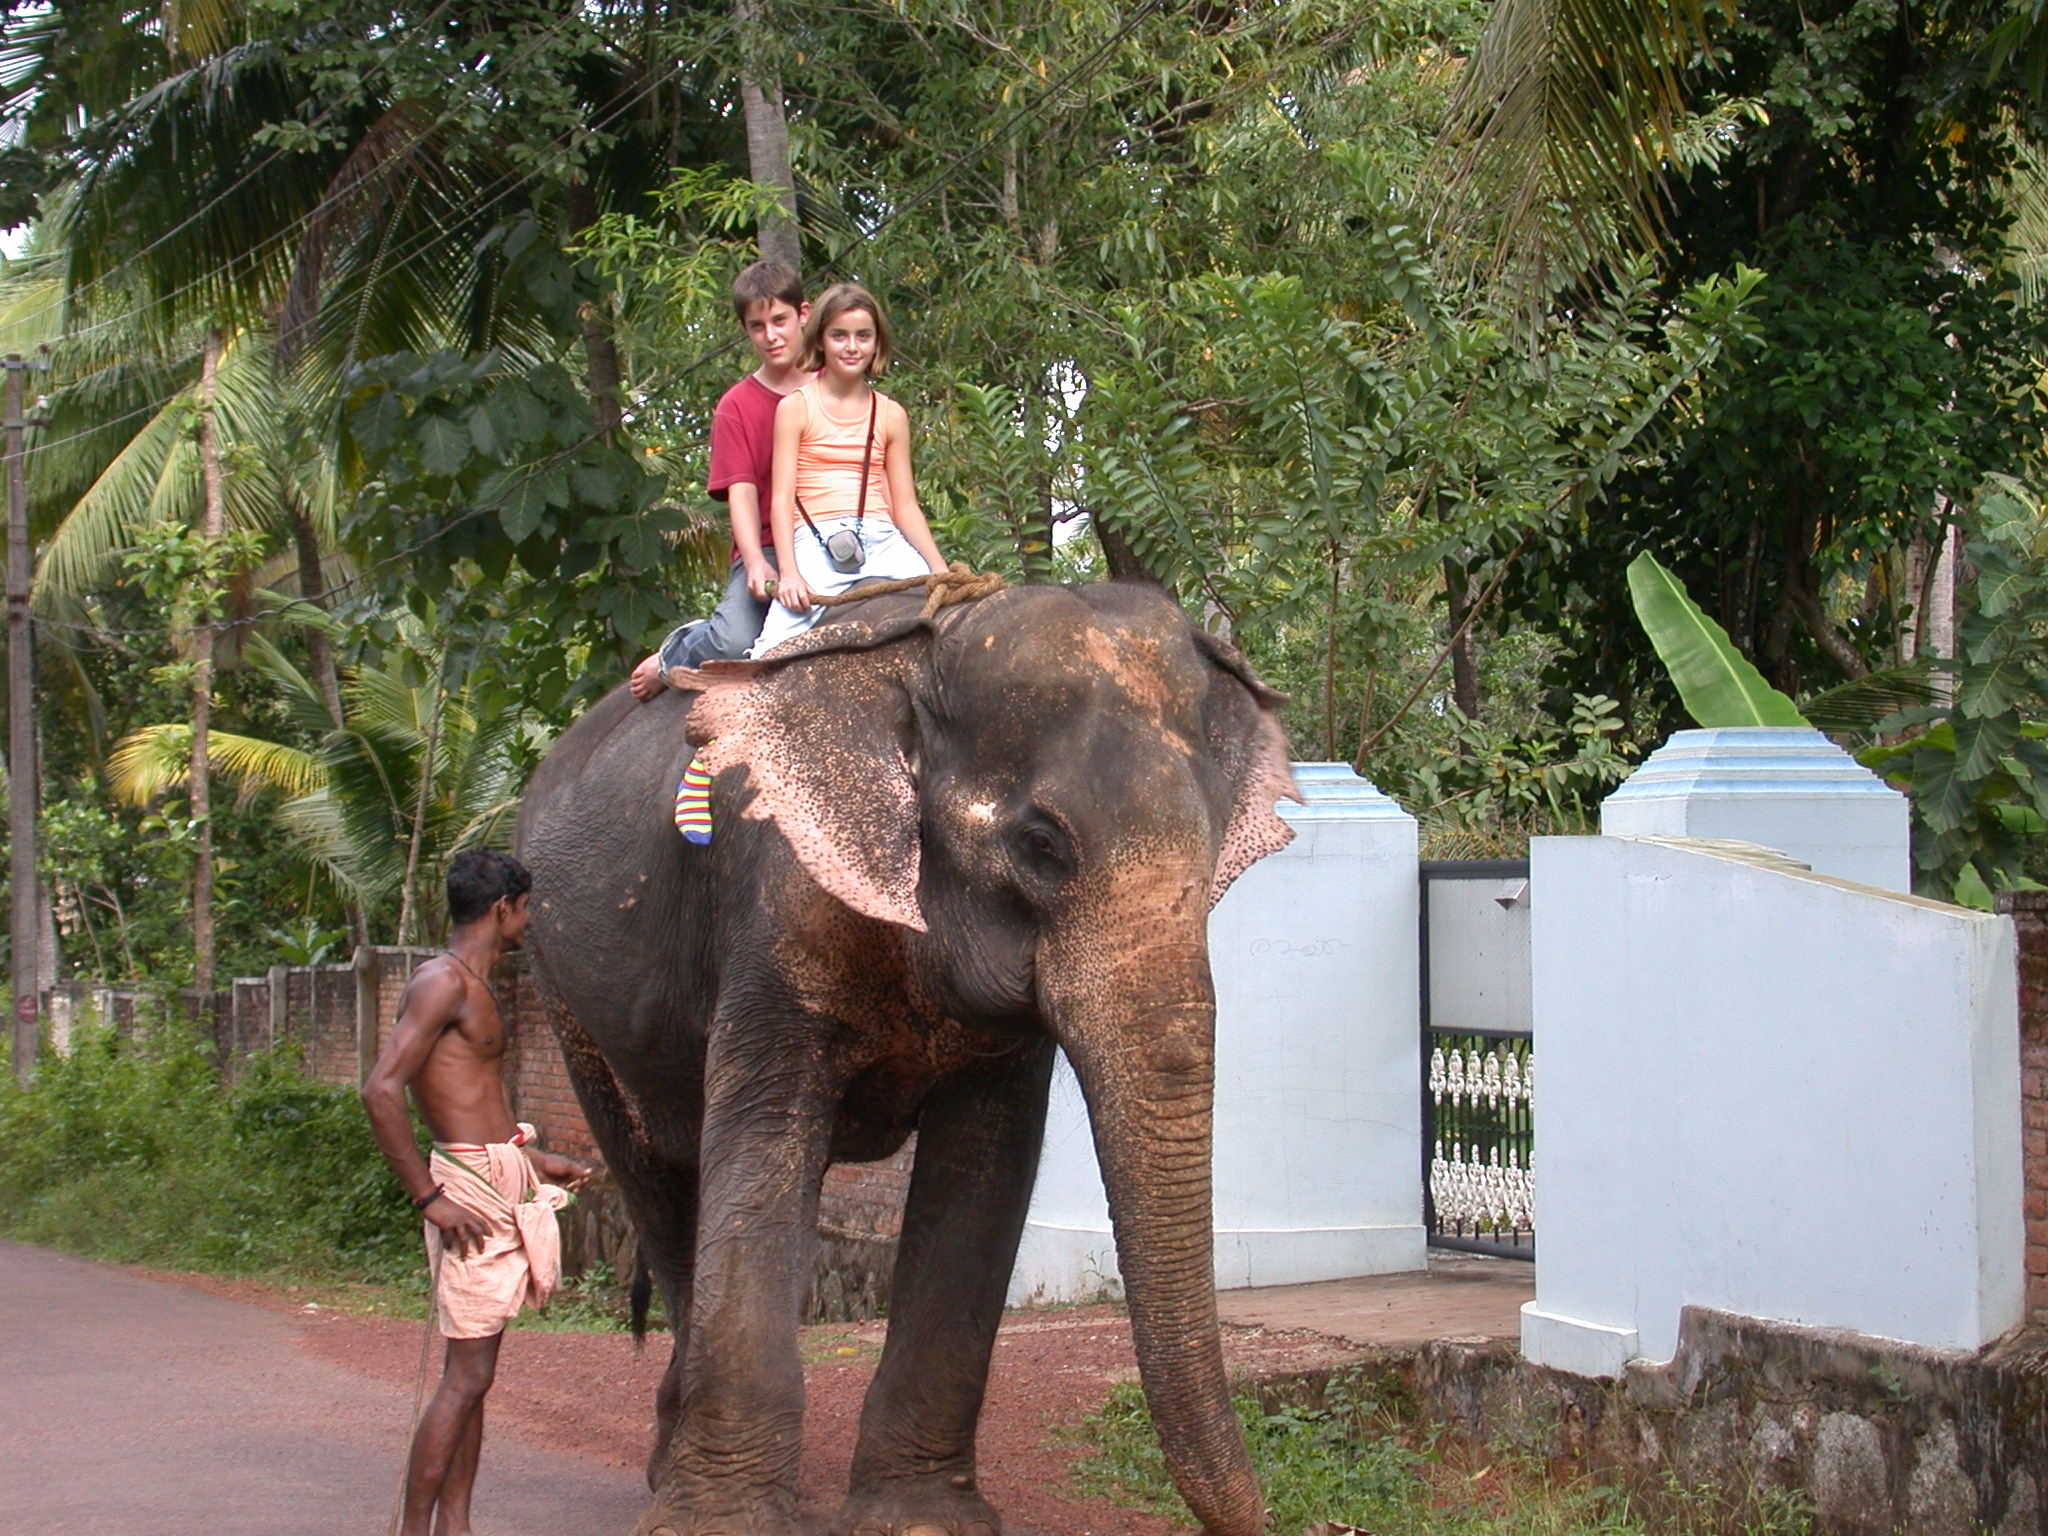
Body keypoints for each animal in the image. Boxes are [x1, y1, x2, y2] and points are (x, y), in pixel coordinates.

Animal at [515, 579, 1299, 1536]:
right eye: (1041, 845)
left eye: (1215, 841)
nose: (1273, 1519)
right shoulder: (776, 910)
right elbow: (763, 1144)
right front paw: (723, 1527)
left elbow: (984, 1173)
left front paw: (923, 1521)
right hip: (563, 988)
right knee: (659, 1182)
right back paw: (668, 1470)